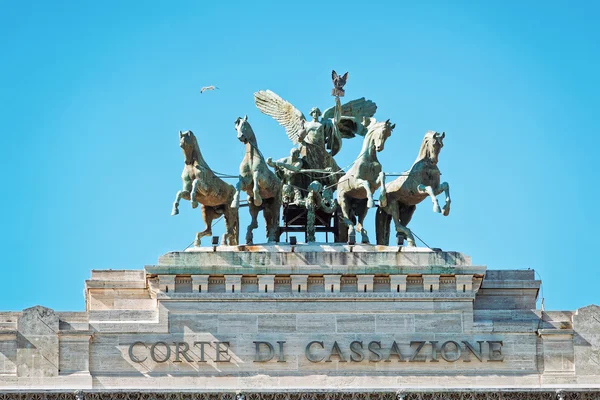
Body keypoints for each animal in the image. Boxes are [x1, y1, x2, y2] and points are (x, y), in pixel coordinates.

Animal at [232, 115, 284, 244]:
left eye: (245, 124)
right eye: (236, 128)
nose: (241, 137)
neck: (251, 158)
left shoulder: (261, 178)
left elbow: (256, 181)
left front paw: (257, 198)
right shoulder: (245, 181)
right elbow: (238, 185)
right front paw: (235, 203)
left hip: (276, 204)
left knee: (274, 222)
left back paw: (271, 238)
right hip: (257, 207)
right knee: (255, 223)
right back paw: (249, 238)